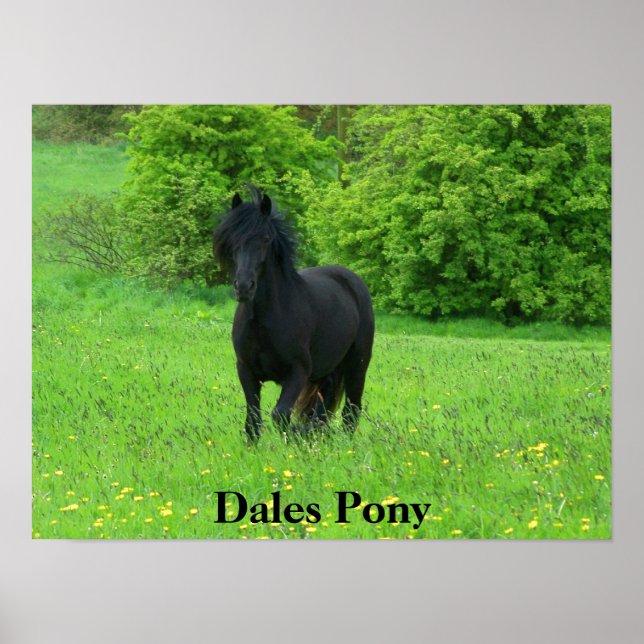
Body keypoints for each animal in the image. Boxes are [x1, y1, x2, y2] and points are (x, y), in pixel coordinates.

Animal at [213, 187, 374, 442]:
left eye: (266, 239)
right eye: (231, 240)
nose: (244, 287)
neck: (264, 321)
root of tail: (352, 280)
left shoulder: (298, 372)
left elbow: (280, 414)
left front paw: (295, 438)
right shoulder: (246, 370)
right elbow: (253, 420)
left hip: (357, 365)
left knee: (351, 411)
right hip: (327, 370)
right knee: (324, 405)